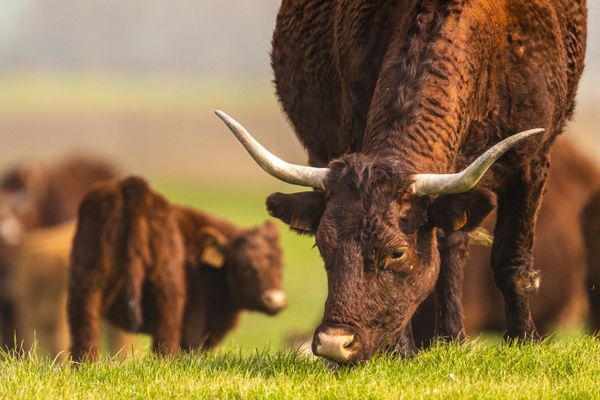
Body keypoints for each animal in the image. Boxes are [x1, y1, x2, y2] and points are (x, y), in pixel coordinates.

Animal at [67, 177, 288, 360]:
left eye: (281, 264)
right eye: (245, 266)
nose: (275, 300)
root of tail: (131, 185)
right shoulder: (195, 326)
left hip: (87, 282)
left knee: (84, 336)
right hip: (167, 292)